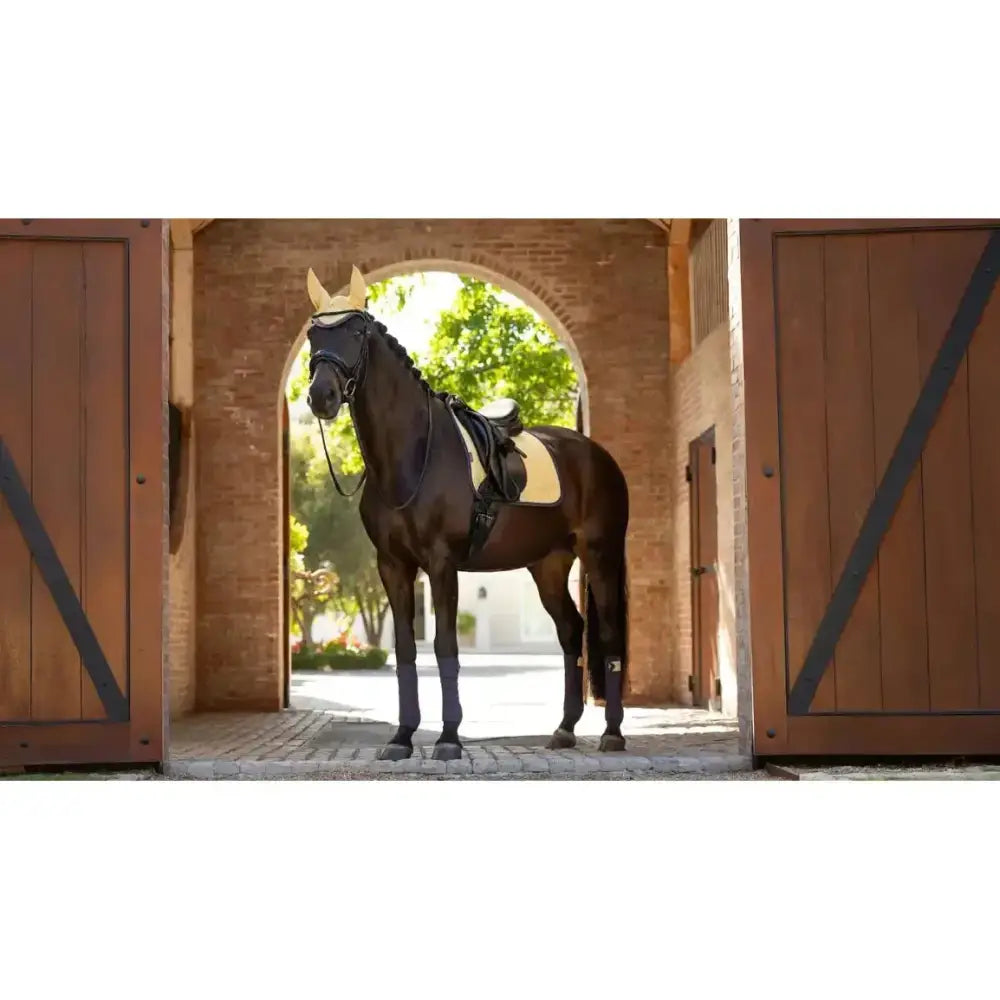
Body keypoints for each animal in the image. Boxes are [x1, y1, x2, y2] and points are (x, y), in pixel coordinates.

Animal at [302, 265, 631, 761]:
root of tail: (599, 456)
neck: (412, 455)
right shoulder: (392, 565)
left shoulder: (441, 564)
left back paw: (611, 733)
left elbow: (445, 646)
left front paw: (448, 739)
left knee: (607, 634)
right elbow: (405, 649)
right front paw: (401, 738)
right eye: (312, 333)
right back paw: (564, 729)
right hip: (549, 565)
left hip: (600, 555)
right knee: (571, 631)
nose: (321, 396)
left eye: (356, 331)